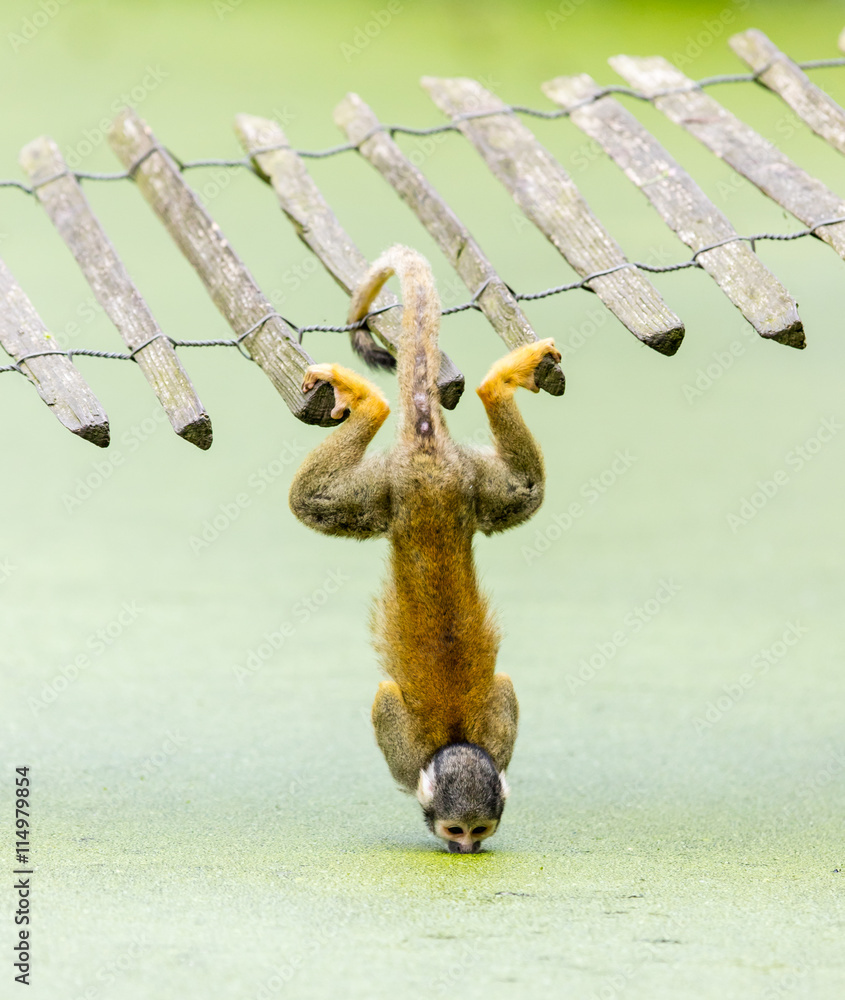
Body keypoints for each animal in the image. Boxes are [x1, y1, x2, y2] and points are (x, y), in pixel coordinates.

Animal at [289, 245, 559, 853]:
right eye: (455, 829)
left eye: (481, 830)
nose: (466, 850)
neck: (455, 739)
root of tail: (428, 455)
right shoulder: (408, 749)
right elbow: (384, 701)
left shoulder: (495, 734)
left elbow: (504, 687)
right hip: (394, 491)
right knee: (309, 504)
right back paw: (382, 402)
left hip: (463, 481)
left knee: (525, 493)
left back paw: (485, 388)